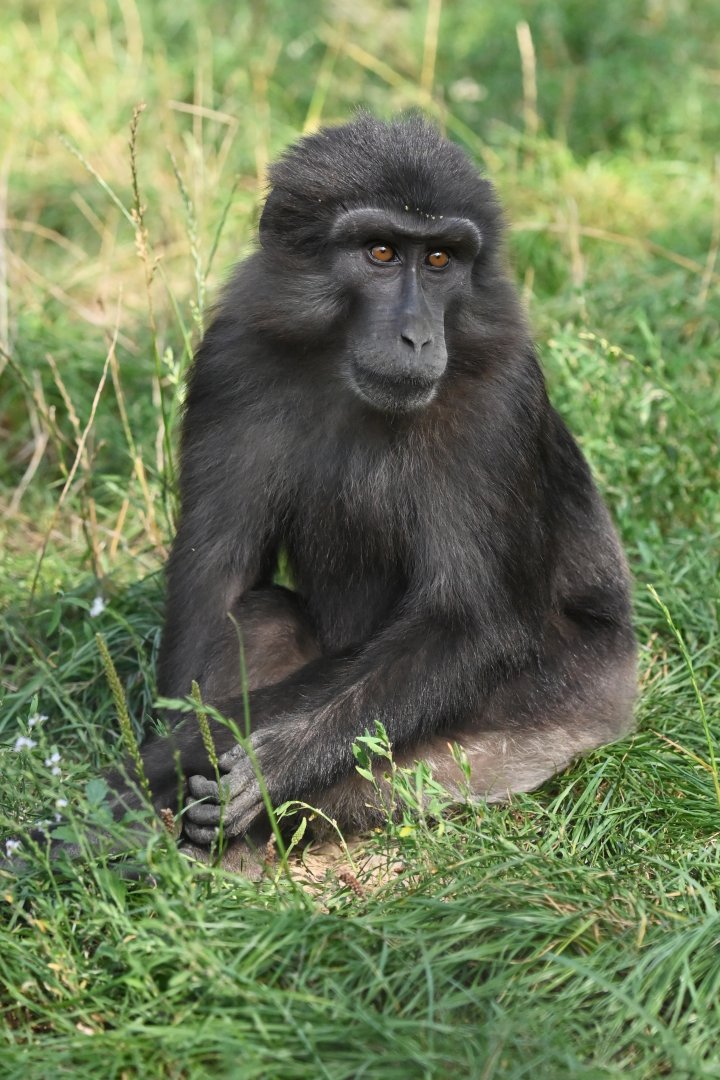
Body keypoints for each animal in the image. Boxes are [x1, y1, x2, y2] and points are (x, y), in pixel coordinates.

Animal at [67, 114, 640, 857]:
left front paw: (267, 766)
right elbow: (215, 576)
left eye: (439, 260)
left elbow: (470, 624)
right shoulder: (231, 357)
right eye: (380, 251)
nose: (417, 338)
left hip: (558, 714)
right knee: (260, 617)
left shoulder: (500, 398)